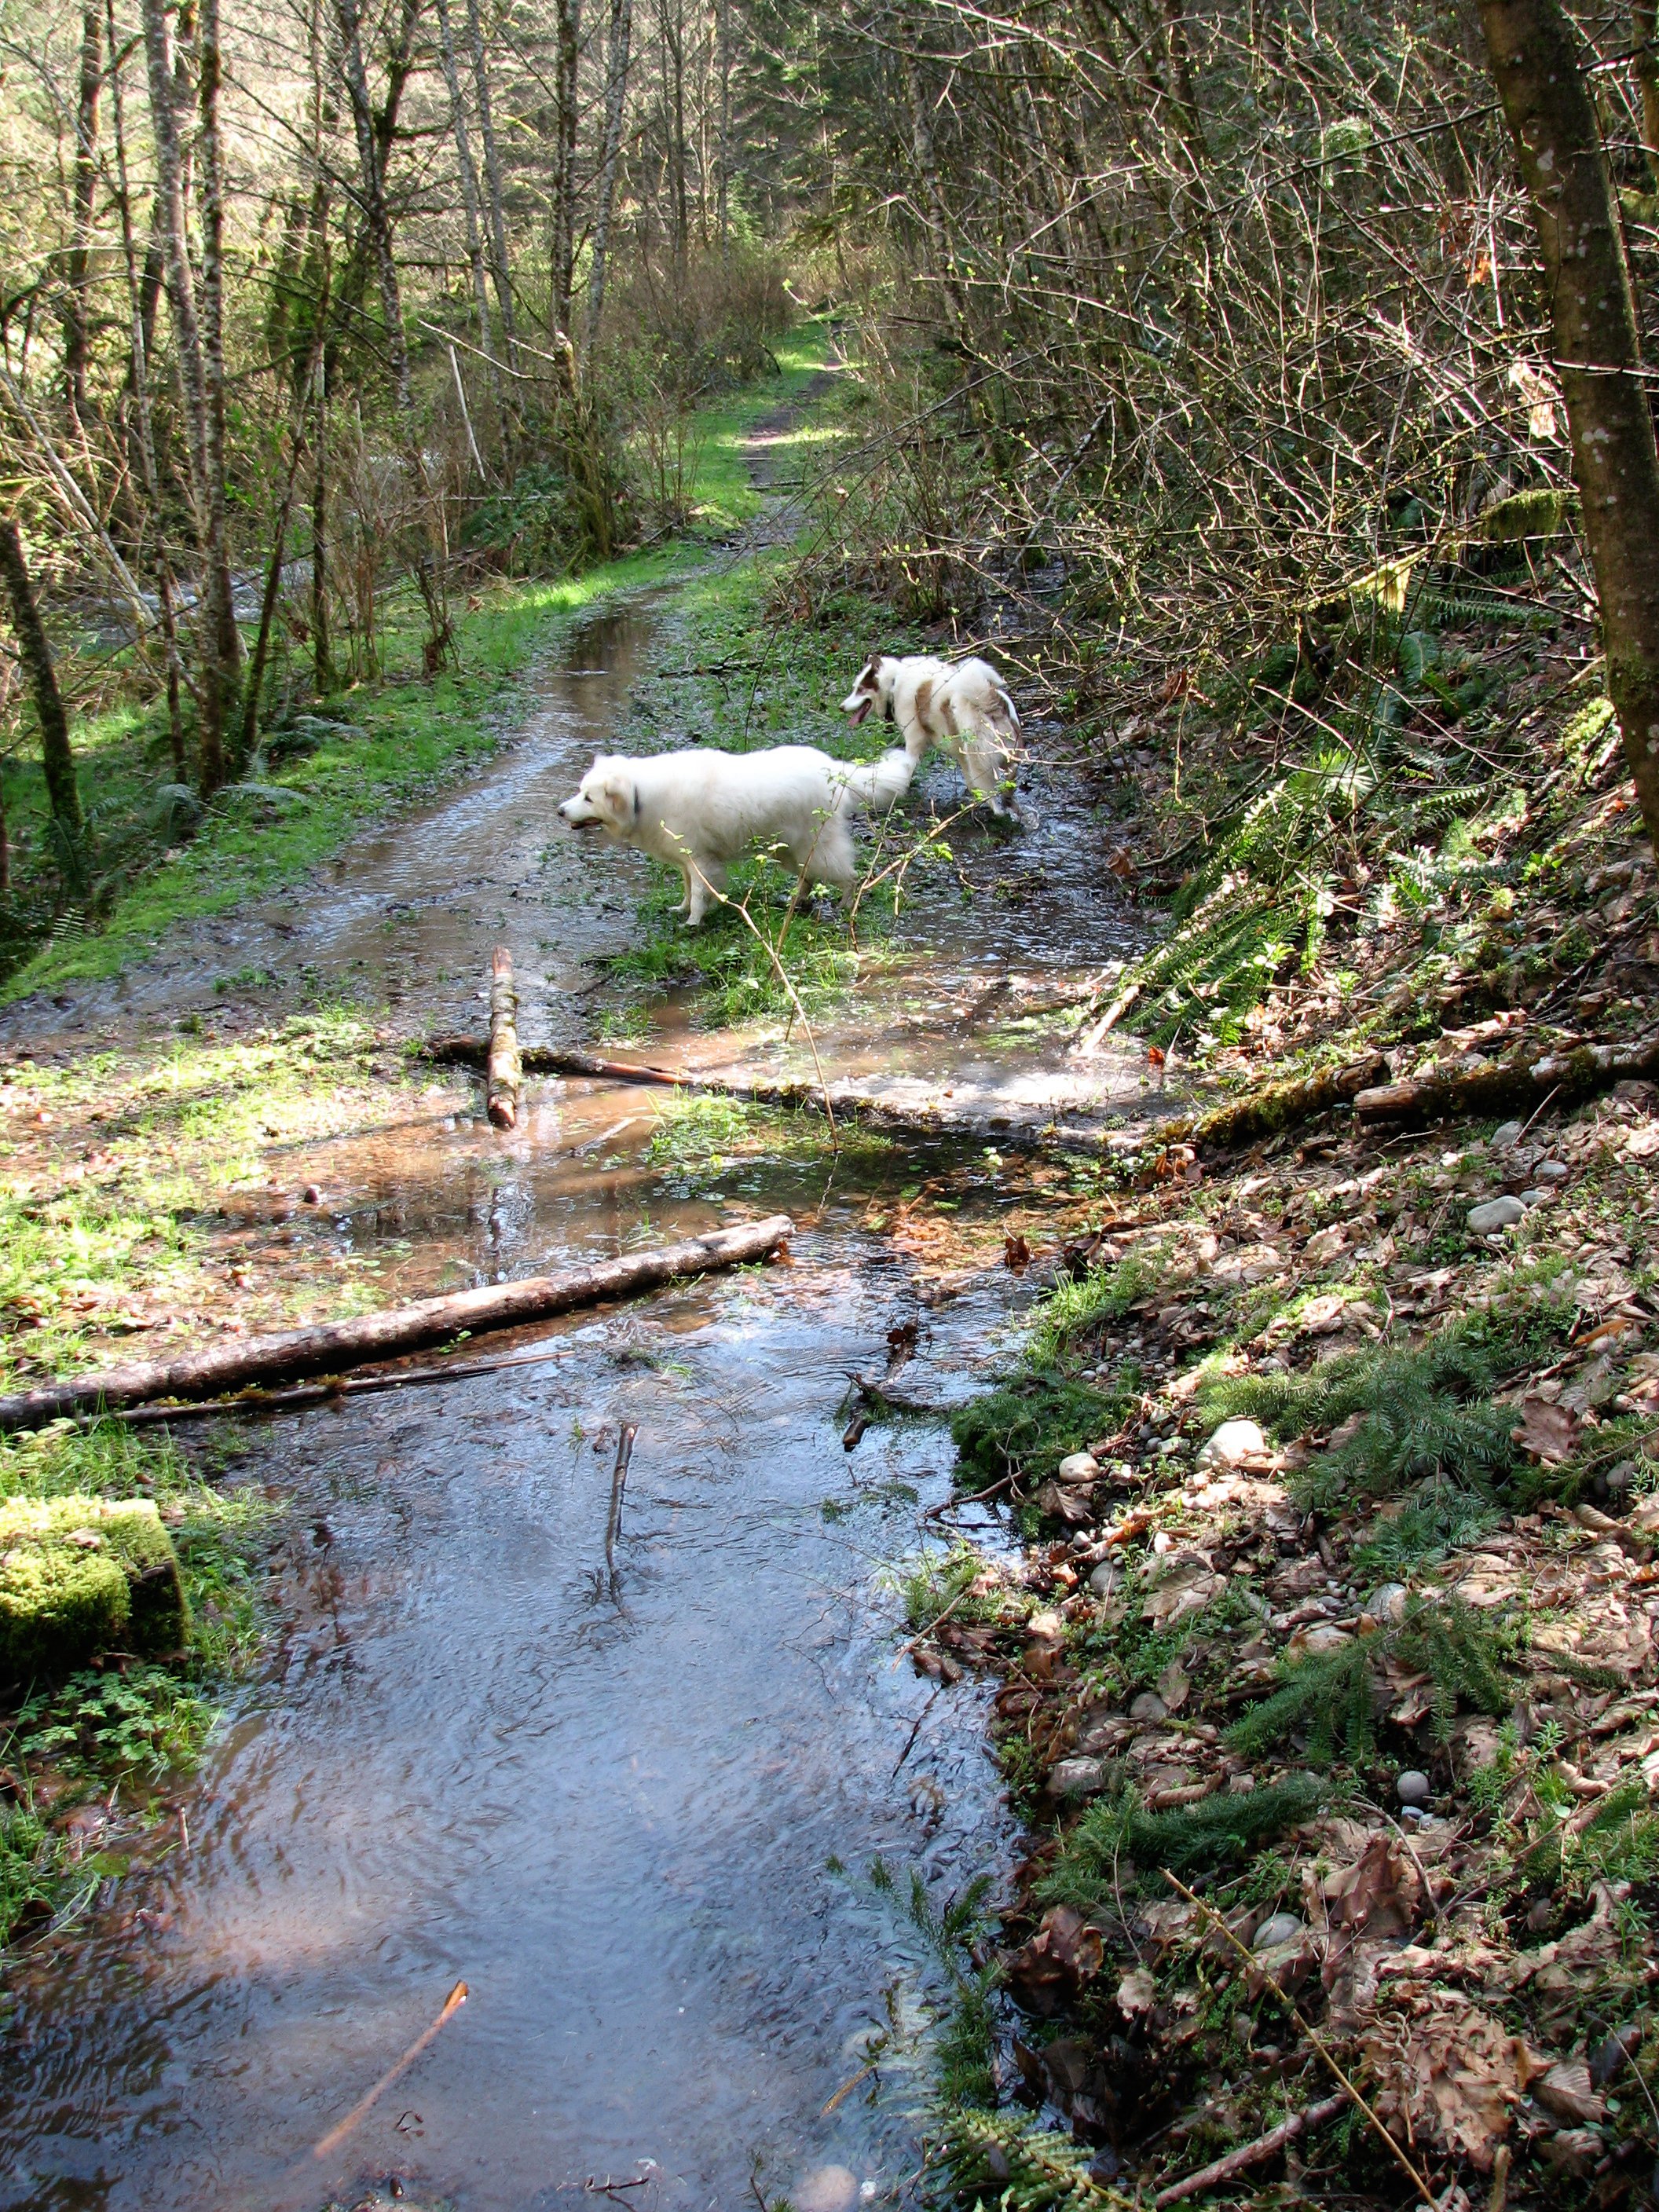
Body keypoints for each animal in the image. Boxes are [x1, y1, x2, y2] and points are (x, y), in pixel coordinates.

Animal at [566, 743, 915, 915]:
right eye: (580, 792)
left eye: (588, 798)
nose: (560, 811)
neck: (641, 795)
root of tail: (833, 768)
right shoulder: (688, 862)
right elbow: (687, 889)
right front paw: (681, 910)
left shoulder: (701, 860)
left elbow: (699, 894)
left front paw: (693, 921)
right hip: (790, 851)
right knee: (807, 878)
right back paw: (796, 903)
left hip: (816, 848)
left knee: (849, 876)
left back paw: (845, 906)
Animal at [844, 663, 1026, 831]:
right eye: (855, 688)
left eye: (860, 689)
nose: (841, 706)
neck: (895, 681)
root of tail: (988, 701)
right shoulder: (961, 754)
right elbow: (969, 780)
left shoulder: (914, 741)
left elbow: (908, 768)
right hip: (1006, 754)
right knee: (1011, 775)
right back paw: (1010, 804)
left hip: (979, 760)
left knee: (991, 792)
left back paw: (997, 811)